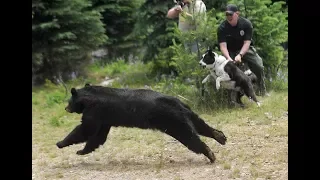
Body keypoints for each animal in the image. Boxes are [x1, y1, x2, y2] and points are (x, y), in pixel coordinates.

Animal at [57, 84, 228, 163]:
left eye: (69, 101)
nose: (65, 108)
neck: (89, 98)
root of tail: (179, 103)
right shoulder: (105, 119)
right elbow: (98, 136)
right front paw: (82, 151)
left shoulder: (95, 112)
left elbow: (85, 129)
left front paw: (61, 143)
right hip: (187, 114)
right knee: (200, 125)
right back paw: (220, 136)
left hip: (174, 122)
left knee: (191, 138)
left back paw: (210, 154)